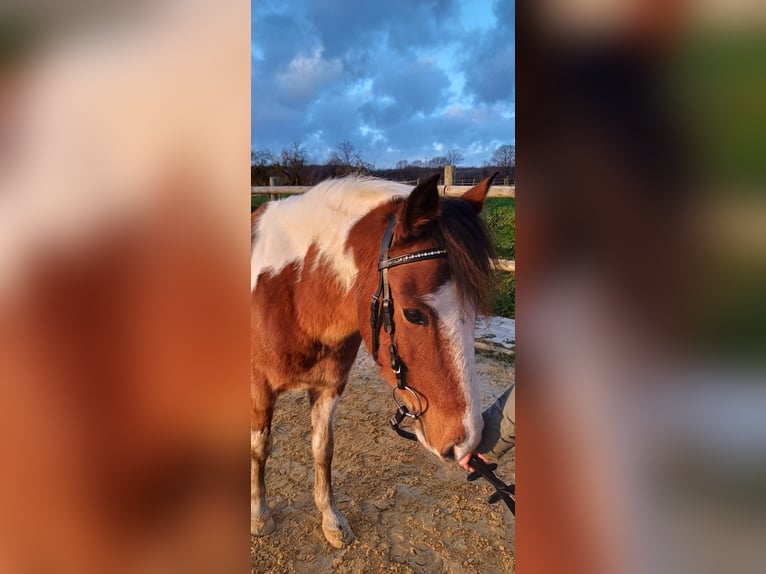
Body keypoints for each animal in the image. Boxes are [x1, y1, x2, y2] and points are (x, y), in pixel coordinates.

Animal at [252, 174, 498, 548]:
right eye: (413, 314)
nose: (467, 440)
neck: (293, 291)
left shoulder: (329, 387)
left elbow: (323, 449)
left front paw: (331, 520)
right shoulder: (258, 388)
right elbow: (261, 448)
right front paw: (259, 514)